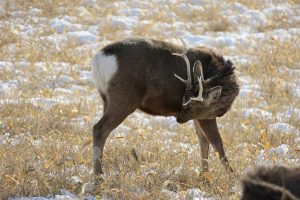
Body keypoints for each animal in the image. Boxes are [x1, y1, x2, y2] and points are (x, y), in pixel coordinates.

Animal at [91, 37, 239, 181]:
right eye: (186, 103)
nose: (178, 119)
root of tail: (99, 57)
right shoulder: (205, 115)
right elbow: (217, 143)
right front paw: (232, 177)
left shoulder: (197, 116)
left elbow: (203, 141)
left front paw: (205, 177)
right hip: (125, 98)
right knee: (99, 128)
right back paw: (99, 177)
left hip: (106, 99)